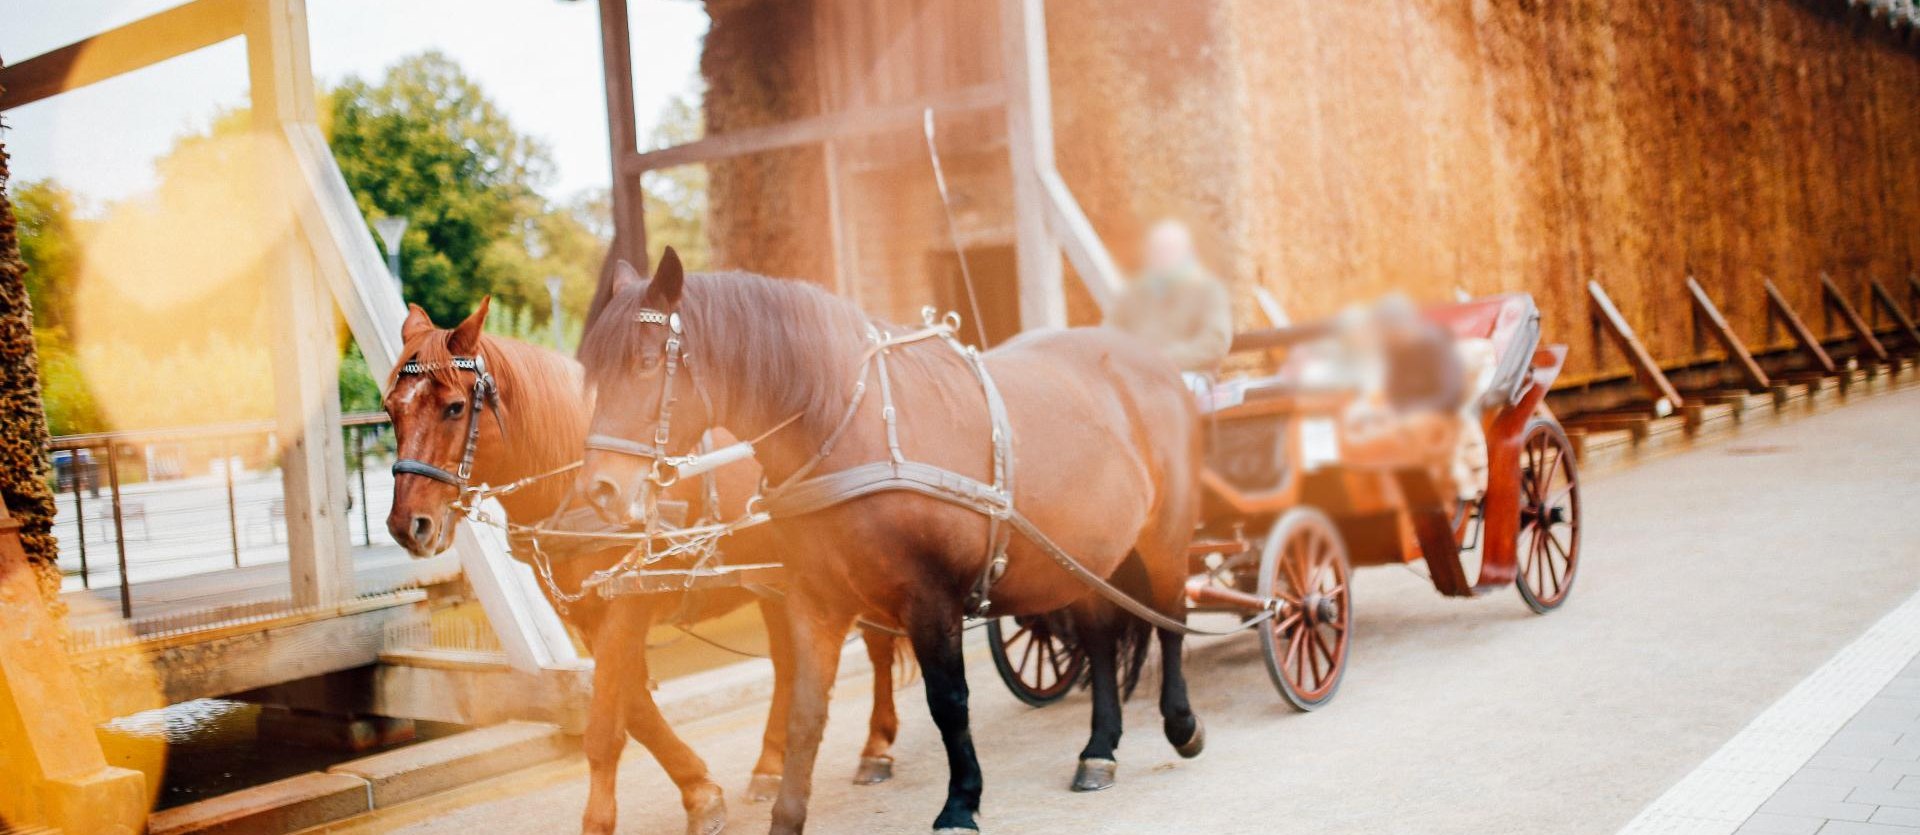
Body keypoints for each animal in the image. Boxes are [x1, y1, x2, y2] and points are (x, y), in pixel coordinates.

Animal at [385, 301, 910, 835]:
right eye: (390, 410)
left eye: (454, 407)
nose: (409, 525)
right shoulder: (592, 616)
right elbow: (633, 707)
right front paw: (700, 792)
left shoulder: (628, 606)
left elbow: (605, 724)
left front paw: (602, 820)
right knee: (787, 662)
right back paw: (769, 766)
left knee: (877, 647)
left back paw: (875, 746)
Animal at [572, 249, 1198, 835]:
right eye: (592, 373)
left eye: (646, 362)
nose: (600, 490)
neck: (847, 424)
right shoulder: (816, 600)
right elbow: (805, 711)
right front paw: (786, 813)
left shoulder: (932, 598)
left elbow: (949, 702)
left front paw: (961, 801)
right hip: (1084, 558)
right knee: (1099, 637)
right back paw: (1099, 749)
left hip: (1163, 537)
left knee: (1170, 618)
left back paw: (1181, 723)